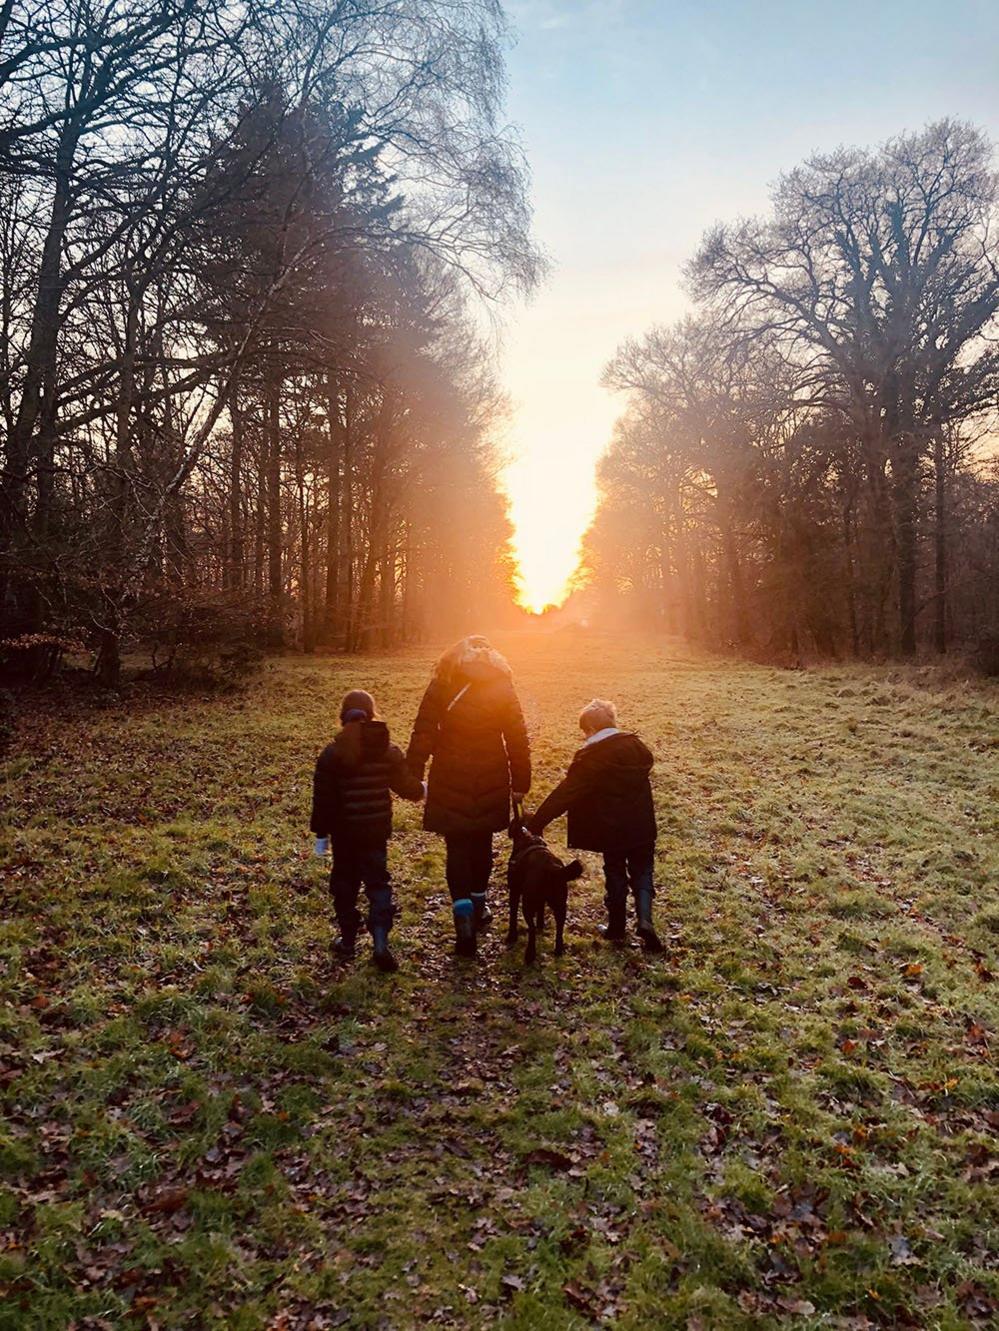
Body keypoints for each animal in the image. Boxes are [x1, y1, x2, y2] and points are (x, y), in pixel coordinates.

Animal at [508, 814, 585, 963]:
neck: (527, 836)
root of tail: (551, 868)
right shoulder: (541, 900)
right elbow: (541, 910)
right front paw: (541, 925)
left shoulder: (514, 891)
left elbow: (513, 915)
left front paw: (511, 936)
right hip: (561, 905)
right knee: (560, 927)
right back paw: (558, 950)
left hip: (528, 904)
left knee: (531, 929)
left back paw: (530, 955)